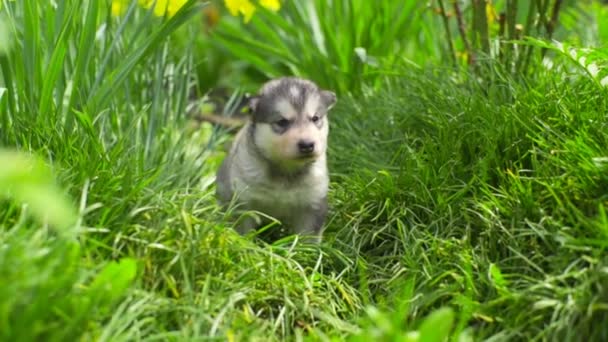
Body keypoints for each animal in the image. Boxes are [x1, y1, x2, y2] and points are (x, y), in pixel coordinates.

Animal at [215, 77, 338, 243]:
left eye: (315, 118)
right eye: (282, 122)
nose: (307, 145)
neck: (286, 171)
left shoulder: (313, 202)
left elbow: (308, 237)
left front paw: (305, 249)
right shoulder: (243, 201)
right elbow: (242, 231)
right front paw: (244, 244)